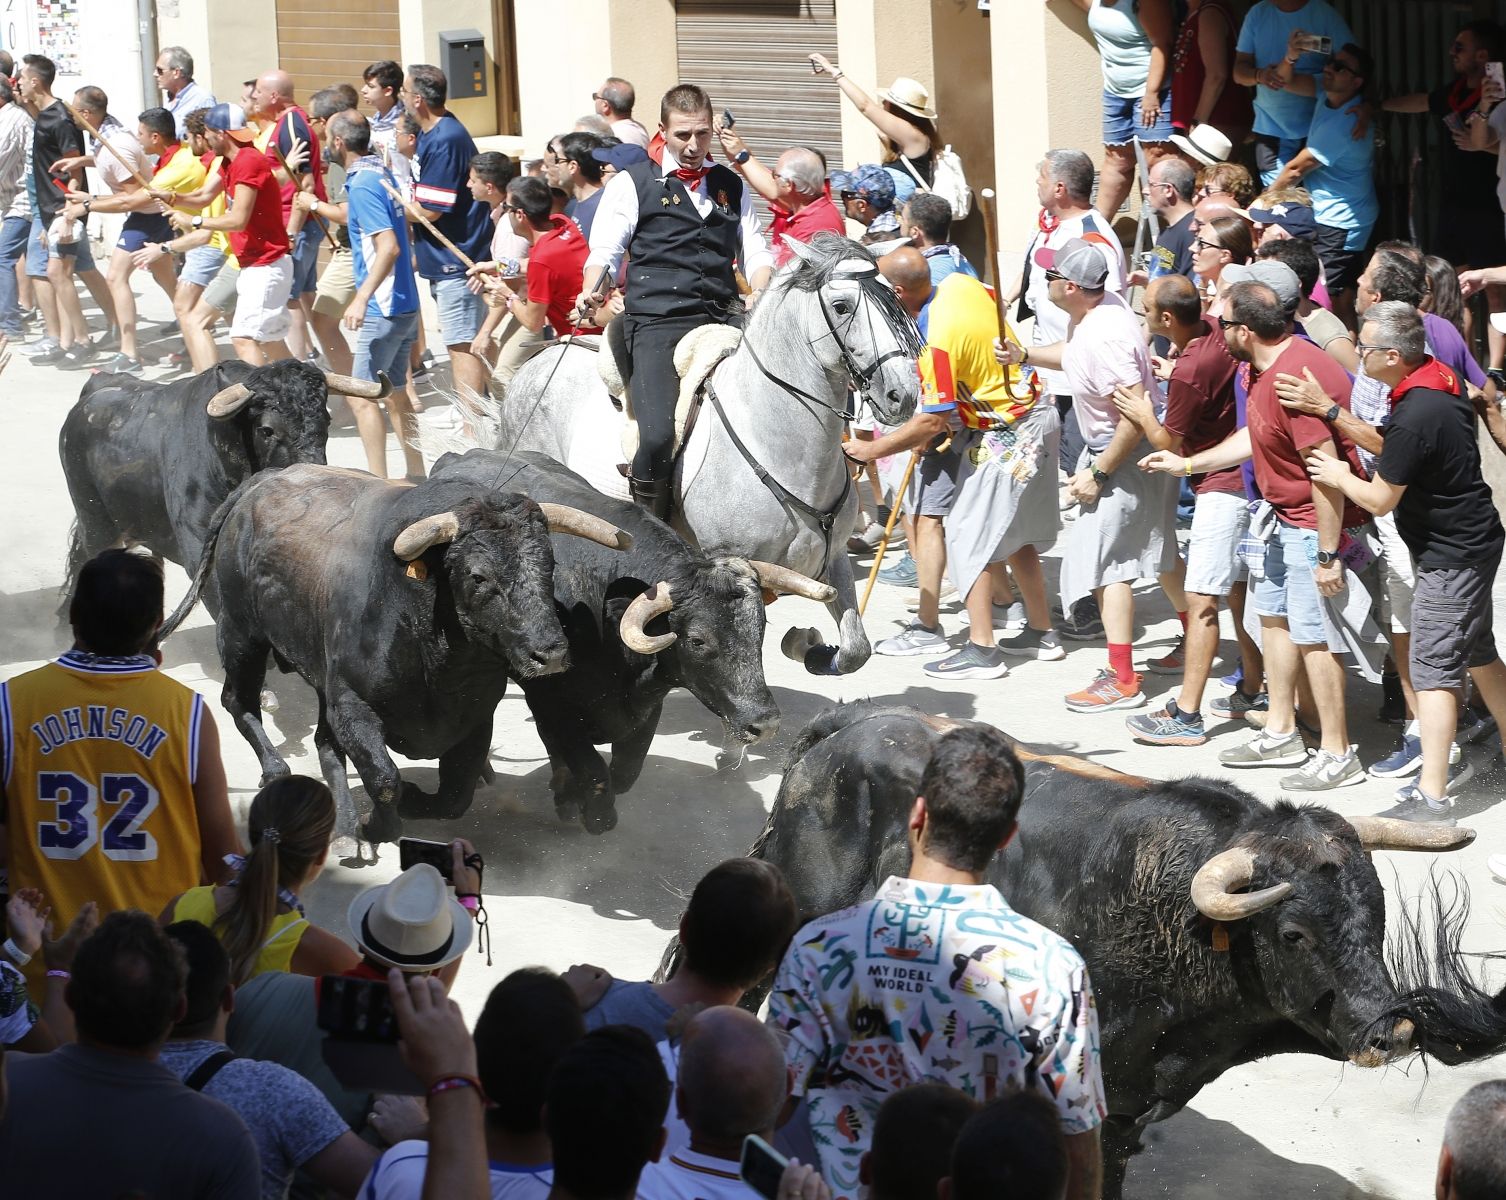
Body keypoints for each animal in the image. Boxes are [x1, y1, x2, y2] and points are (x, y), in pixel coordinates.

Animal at [463, 228, 921, 668]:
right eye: (842, 306)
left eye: (891, 296)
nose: (904, 395)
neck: (778, 443)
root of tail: (545, 355)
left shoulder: (834, 560)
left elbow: (855, 650)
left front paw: (805, 645)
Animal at [734, 701, 1487, 1198]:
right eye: (1294, 934)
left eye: (1378, 917)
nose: (1392, 1032)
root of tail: (852, 724)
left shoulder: (1127, 1110)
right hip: (793, 914)